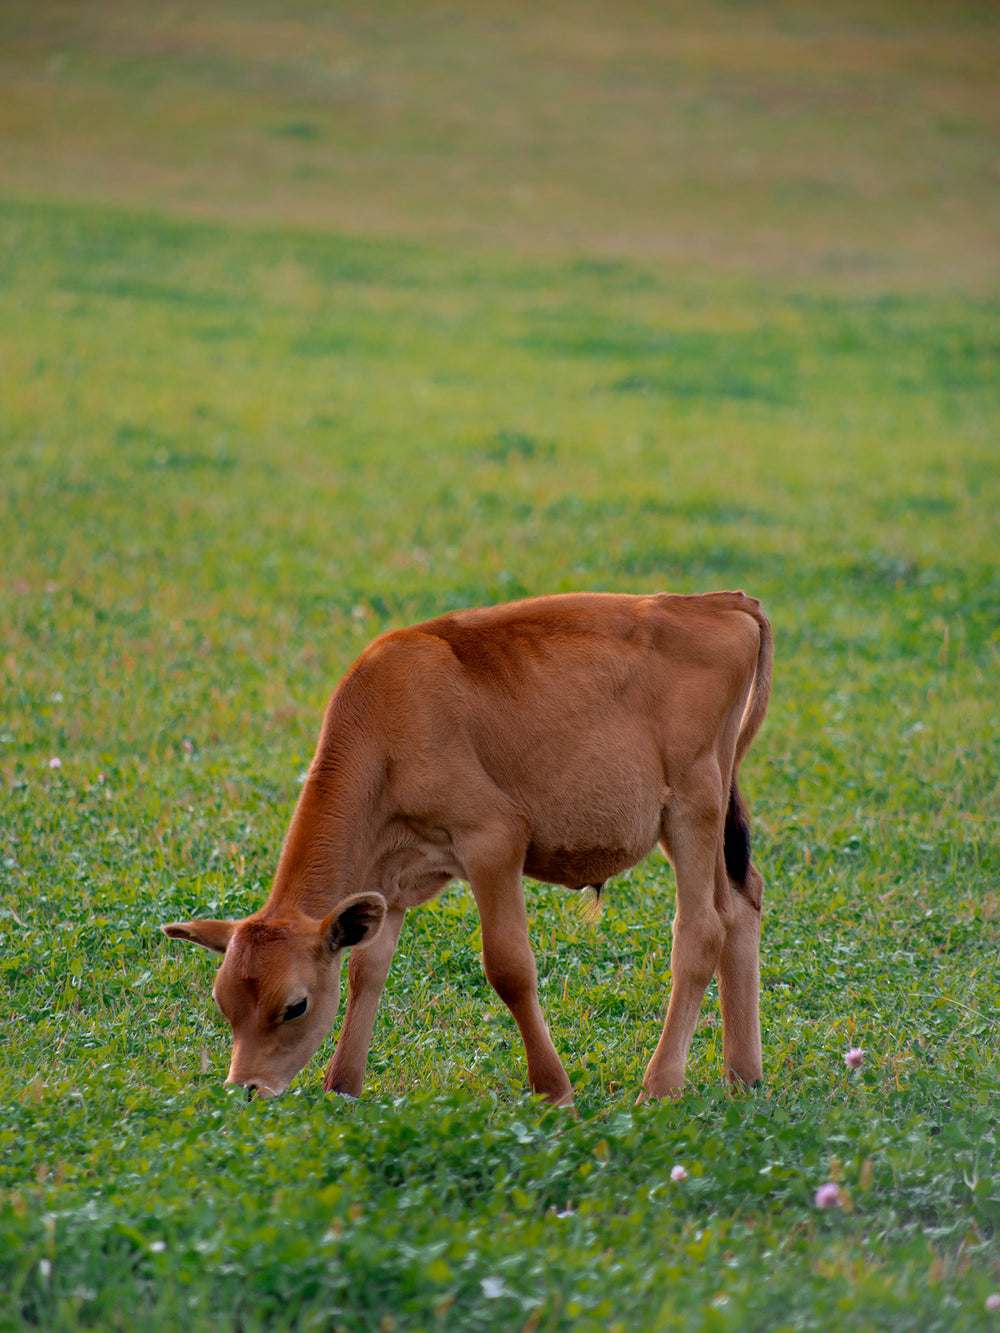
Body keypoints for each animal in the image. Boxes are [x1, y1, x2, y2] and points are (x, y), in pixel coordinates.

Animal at [164, 591, 773, 1103]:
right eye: (223, 1003)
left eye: (295, 1006)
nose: (244, 1088)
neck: (388, 722)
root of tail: (718, 601)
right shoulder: (390, 879)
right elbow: (367, 970)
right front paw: (342, 1086)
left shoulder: (493, 840)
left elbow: (509, 967)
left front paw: (554, 1090)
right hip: (713, 810)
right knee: (741, 902)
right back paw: (742, 1075)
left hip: (693, 803)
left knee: (701, 929)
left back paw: (660, 1086)